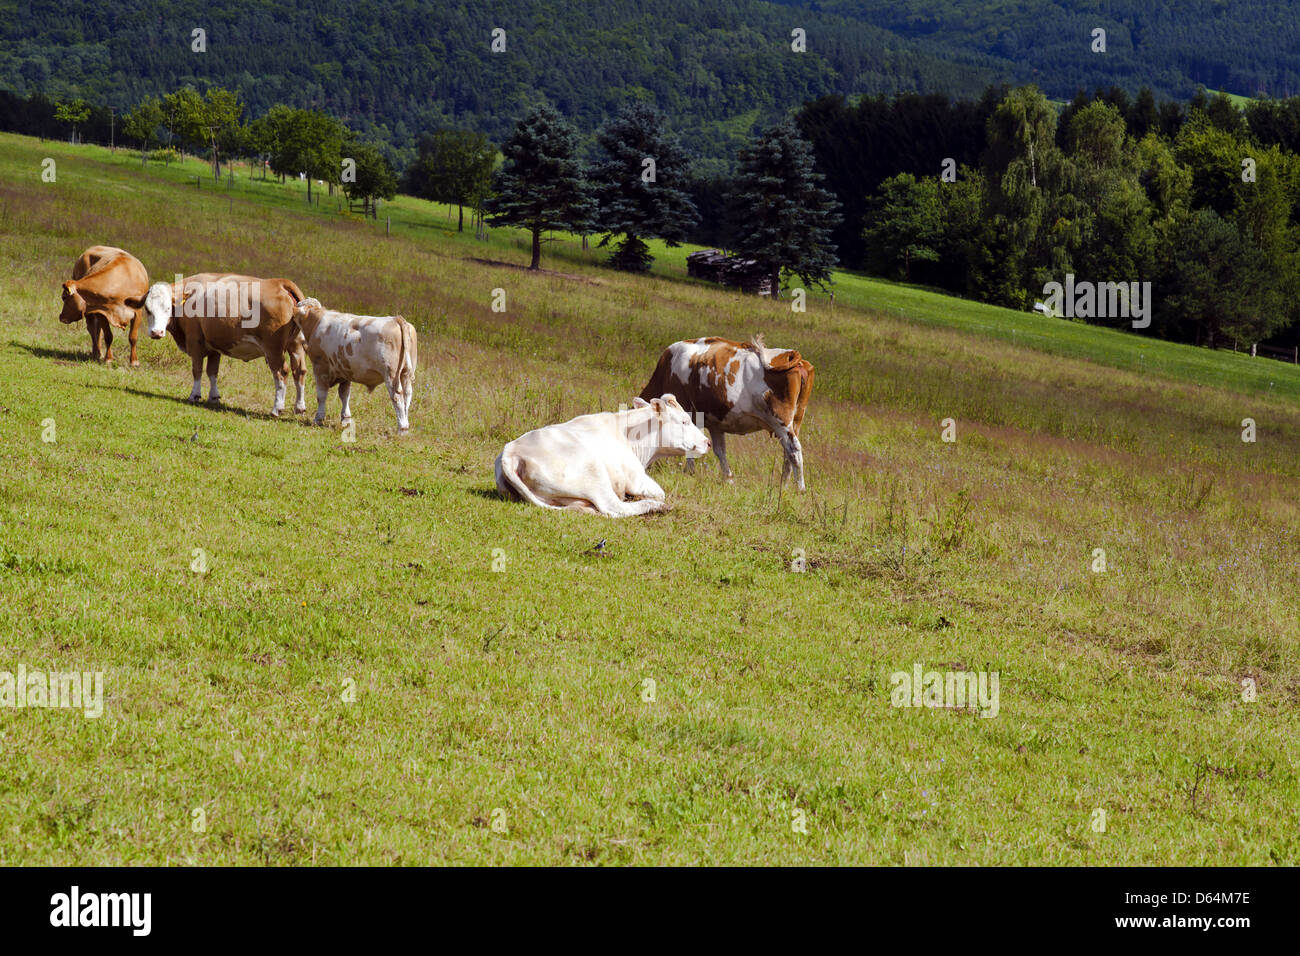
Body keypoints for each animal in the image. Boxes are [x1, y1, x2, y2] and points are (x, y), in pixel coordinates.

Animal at [143, 273, 312, 416]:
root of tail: (280, 282)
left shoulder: (195, 342)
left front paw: (194, 395)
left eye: (167, 308)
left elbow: (197, 371)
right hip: (296, 345)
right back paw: (299, 407)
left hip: (273, 349)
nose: (156, 332)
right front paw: (214, 397)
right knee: (299, 371)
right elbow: (212, 372)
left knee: (281, 373)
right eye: (147, 309)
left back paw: (277, 408)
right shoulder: (214, 348)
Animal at [292, 297, 418, 434]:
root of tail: (395, 319)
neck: (316, 322)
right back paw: (406, 425)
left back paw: (402, 428)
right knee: (407, 395)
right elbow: (345, 395)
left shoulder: (320, 367)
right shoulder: (345, 371)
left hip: (391, 374)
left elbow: (321, 395)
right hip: (406, 374)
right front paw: (346, 420)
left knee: (397, 396)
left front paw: (318, 419)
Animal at [491, 395, 712, 520]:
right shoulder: (636, 478)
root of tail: (511, 451)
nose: (707, 442)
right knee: (614, 508)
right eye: (684, 421)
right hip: (594, 473)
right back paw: (656, 507)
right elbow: (660, 492)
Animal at [639, 335, 811, 489]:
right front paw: (728, 479)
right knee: (788, 453)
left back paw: (800, 488)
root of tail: (793, 356)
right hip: (796, 420)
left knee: (794, 449)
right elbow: (720, 450)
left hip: (781, 421)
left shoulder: (689, 413)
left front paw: (689, 472)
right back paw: (784, 485)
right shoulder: (715, 424)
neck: (666, 372)